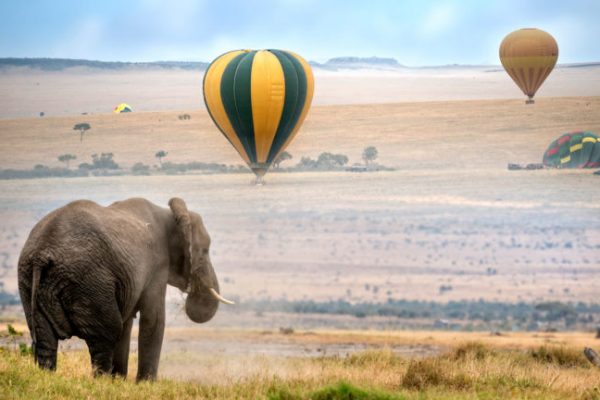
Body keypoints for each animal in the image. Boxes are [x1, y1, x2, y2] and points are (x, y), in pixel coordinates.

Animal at [17, 197, 233, 382]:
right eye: (205, 251)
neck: (170, 214)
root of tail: (41, 254)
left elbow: (128, 321)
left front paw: (120, 381)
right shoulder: (157, 265)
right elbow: (153, 320)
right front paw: (145, 385)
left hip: (30, 282)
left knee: (45, 340)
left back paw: (48, 377)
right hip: (89, 281)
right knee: (107, 333)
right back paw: (101, 382)